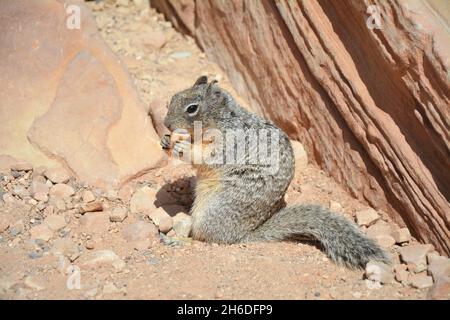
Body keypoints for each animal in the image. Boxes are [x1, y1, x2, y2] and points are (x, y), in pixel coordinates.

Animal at [160, 76, 388, 268]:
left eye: (192, 108)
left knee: (205, 238)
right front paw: (166, 141)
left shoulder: (230, 144)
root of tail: (242, 236)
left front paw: (183, 148)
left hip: (212, 211)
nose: (166, 124)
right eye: (173, 97)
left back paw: (178, 239)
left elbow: (206, 158)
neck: (224, 120)